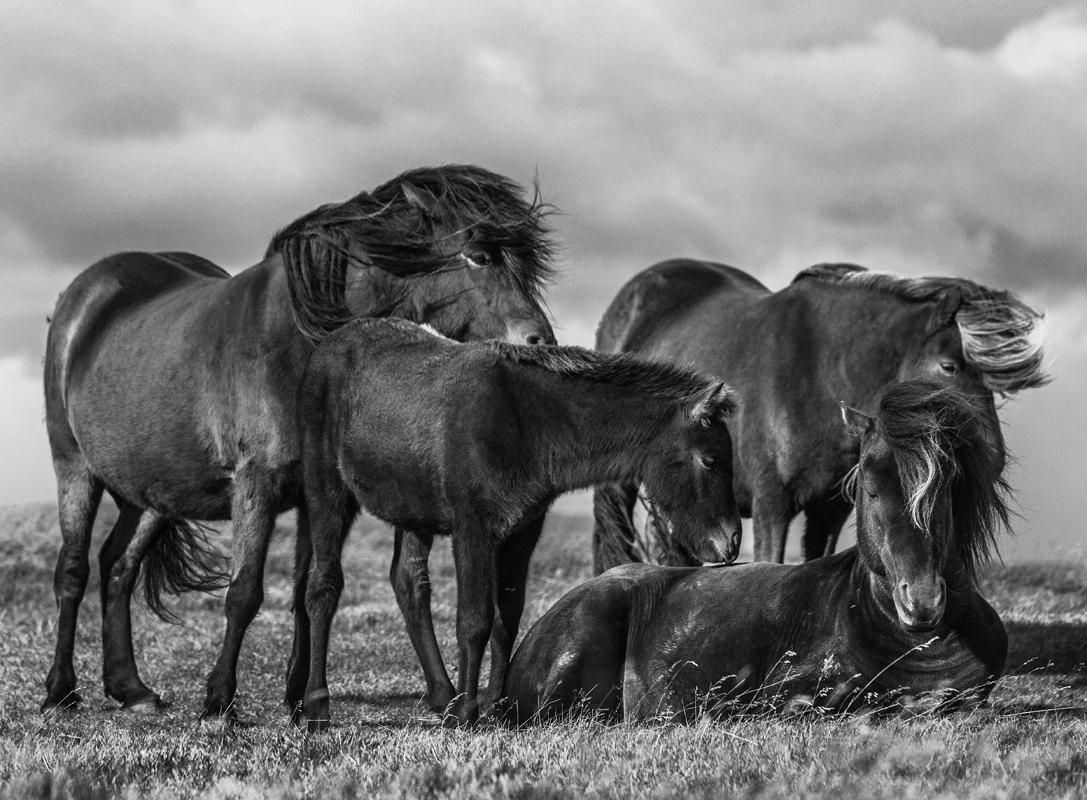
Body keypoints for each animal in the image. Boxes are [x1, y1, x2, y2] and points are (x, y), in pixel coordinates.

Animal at [40, 165, 560, 717]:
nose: (540, 341)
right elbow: (245, 592)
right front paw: (220, 701)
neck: (299, 345)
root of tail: (84, 296)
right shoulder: (257, 485)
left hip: (152, 495)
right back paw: (60, 691)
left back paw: (130, 688)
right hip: (74, 470)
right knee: (73, 571)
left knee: (118, 567)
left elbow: (306, 591)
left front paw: (297, 698)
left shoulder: (320, 494)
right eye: (479, 254)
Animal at [293, 315, 743, 726]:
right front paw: (467, 715)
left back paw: (442, 696)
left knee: (408, 582)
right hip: (326, 492)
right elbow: (474, 620)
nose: (731, 541)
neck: (528, 424)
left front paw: (494, 707)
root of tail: (328, 344)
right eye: (710, 460)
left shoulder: (522, 531)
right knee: (323, 585)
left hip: (411, 510)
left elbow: (506, 619)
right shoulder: (473, 529)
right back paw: (316, 705)